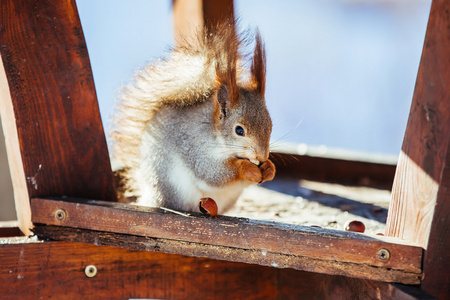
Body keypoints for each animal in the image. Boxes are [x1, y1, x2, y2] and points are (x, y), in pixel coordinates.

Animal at [110, 22, 276, 214]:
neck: (215, 133)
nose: (262, 156)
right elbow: (211, 173)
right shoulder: (194, 145)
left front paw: (269, 168)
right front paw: (247, 169)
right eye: (239, 130)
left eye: (270, 125)